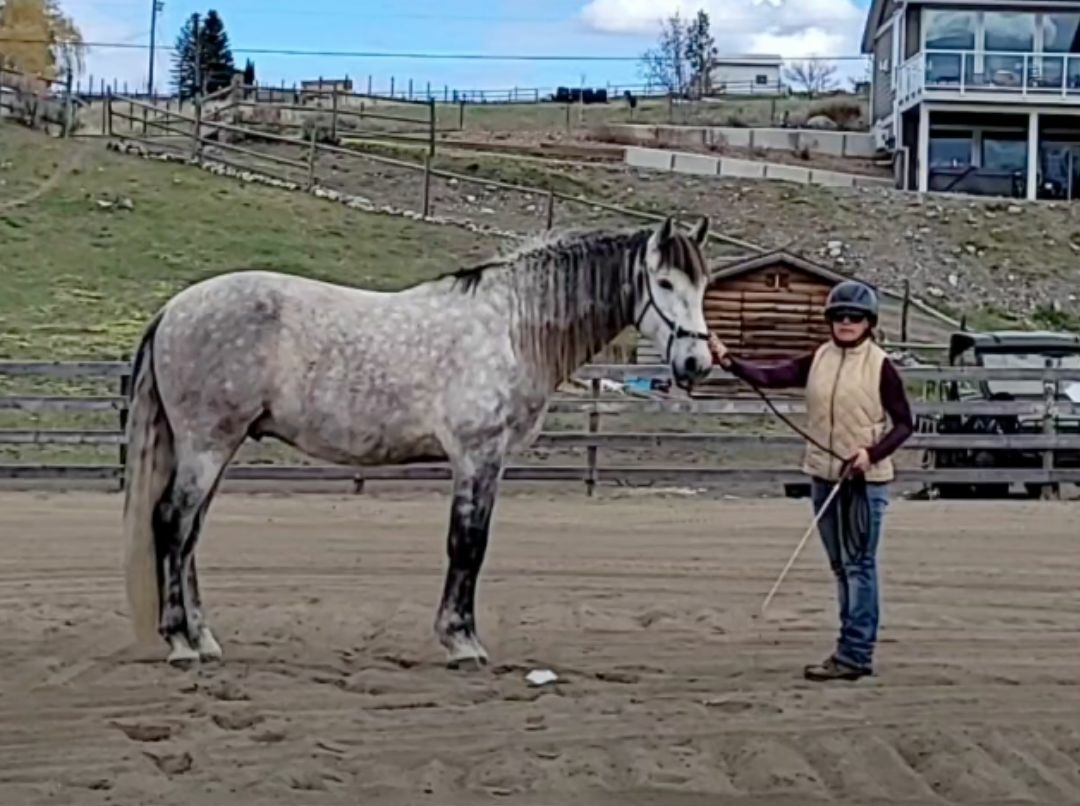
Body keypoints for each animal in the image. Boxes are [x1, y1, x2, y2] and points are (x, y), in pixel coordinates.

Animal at [123, 216, 715, 668]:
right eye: (665, 284)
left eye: (704, 285)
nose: (697, 363)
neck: (511, 327)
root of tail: (173, 310)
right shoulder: (477, 455)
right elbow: (468, 544)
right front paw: (462, 641)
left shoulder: (490, 461)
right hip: (206, 445)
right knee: (172, 524)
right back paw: (180, 642)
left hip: (213, 448)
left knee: (189, 535)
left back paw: (203, 637)